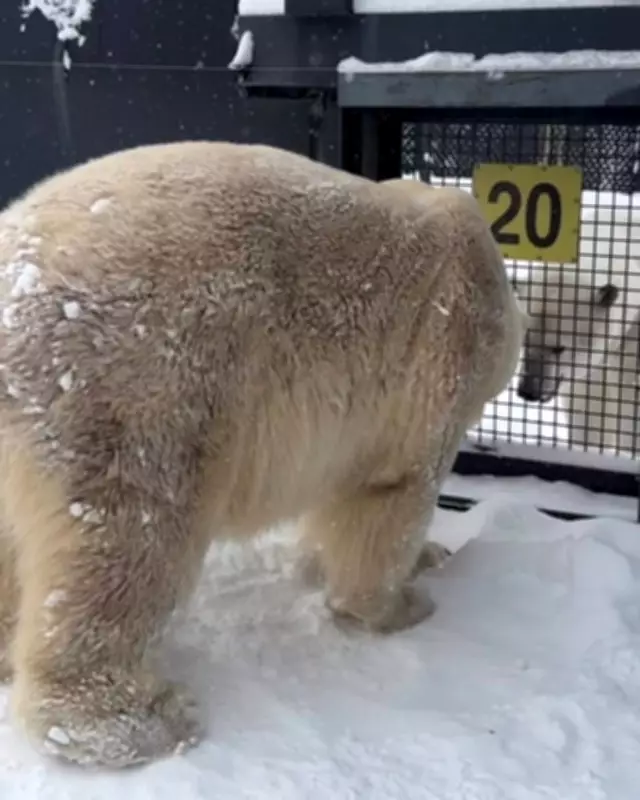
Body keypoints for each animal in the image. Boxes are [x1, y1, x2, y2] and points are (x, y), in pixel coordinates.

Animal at [0, 142, 525, 768]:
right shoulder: (440, 369)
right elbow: (389, 502)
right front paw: (400, 602)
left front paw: (421, 557)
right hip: (135, 387)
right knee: (129, 539)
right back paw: (139, 720)